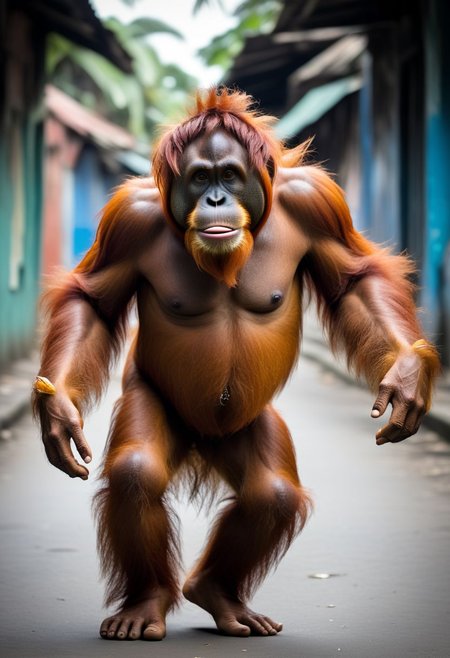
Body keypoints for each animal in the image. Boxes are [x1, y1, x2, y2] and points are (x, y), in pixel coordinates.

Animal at [33, 88, 439, 641]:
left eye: (228, 174)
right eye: (200, 177)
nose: (215, 200)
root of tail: (202, 440)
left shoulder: (317, 202)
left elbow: (355, 279)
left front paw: (406, 375)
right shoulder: (128, 220)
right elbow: (92, 300)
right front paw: (58, 413)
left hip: (246, 422)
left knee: (273, 494)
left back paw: (218, 596)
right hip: (158, 404)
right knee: (138, 473)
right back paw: (146, 605)